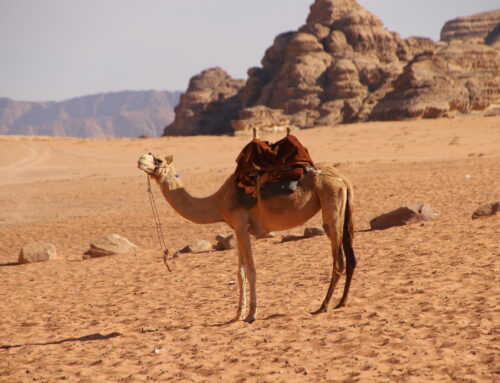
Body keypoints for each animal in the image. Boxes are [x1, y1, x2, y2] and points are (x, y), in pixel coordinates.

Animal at [137, 142, 356, 322]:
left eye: (157, 159)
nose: (140, 160)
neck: (219, 202)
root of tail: (344, 180)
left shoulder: (242, 226)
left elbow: (251, 271)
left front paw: (251, 314)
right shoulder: (238, 228)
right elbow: (240, 273)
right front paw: (236, 315)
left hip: (330, 203)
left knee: (338, 259)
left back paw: (323, 306)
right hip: (344, 209)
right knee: (351, 257)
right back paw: (341, 302)